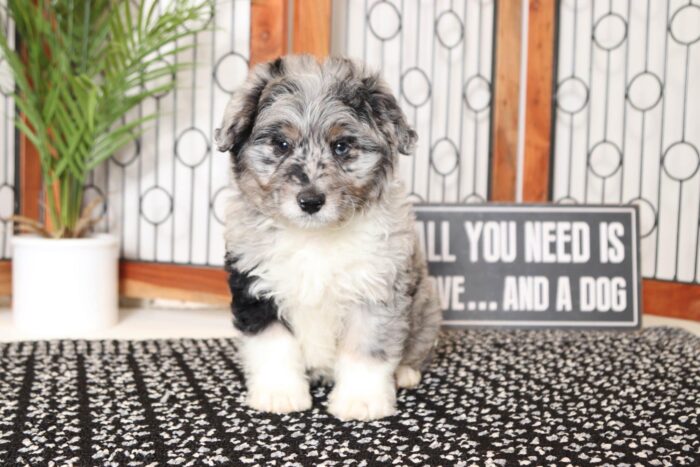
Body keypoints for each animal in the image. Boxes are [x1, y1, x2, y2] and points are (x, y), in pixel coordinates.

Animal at [216, 55, 440, 424]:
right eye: (281, 145)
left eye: (341, 147)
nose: (310, 201)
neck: (313, 238)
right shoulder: (257, 286)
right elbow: (274, 345)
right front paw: (279, 394)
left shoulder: (376, 287)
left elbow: (367, 347)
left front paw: (361, 400)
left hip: (427, 306)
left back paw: (406, 372)